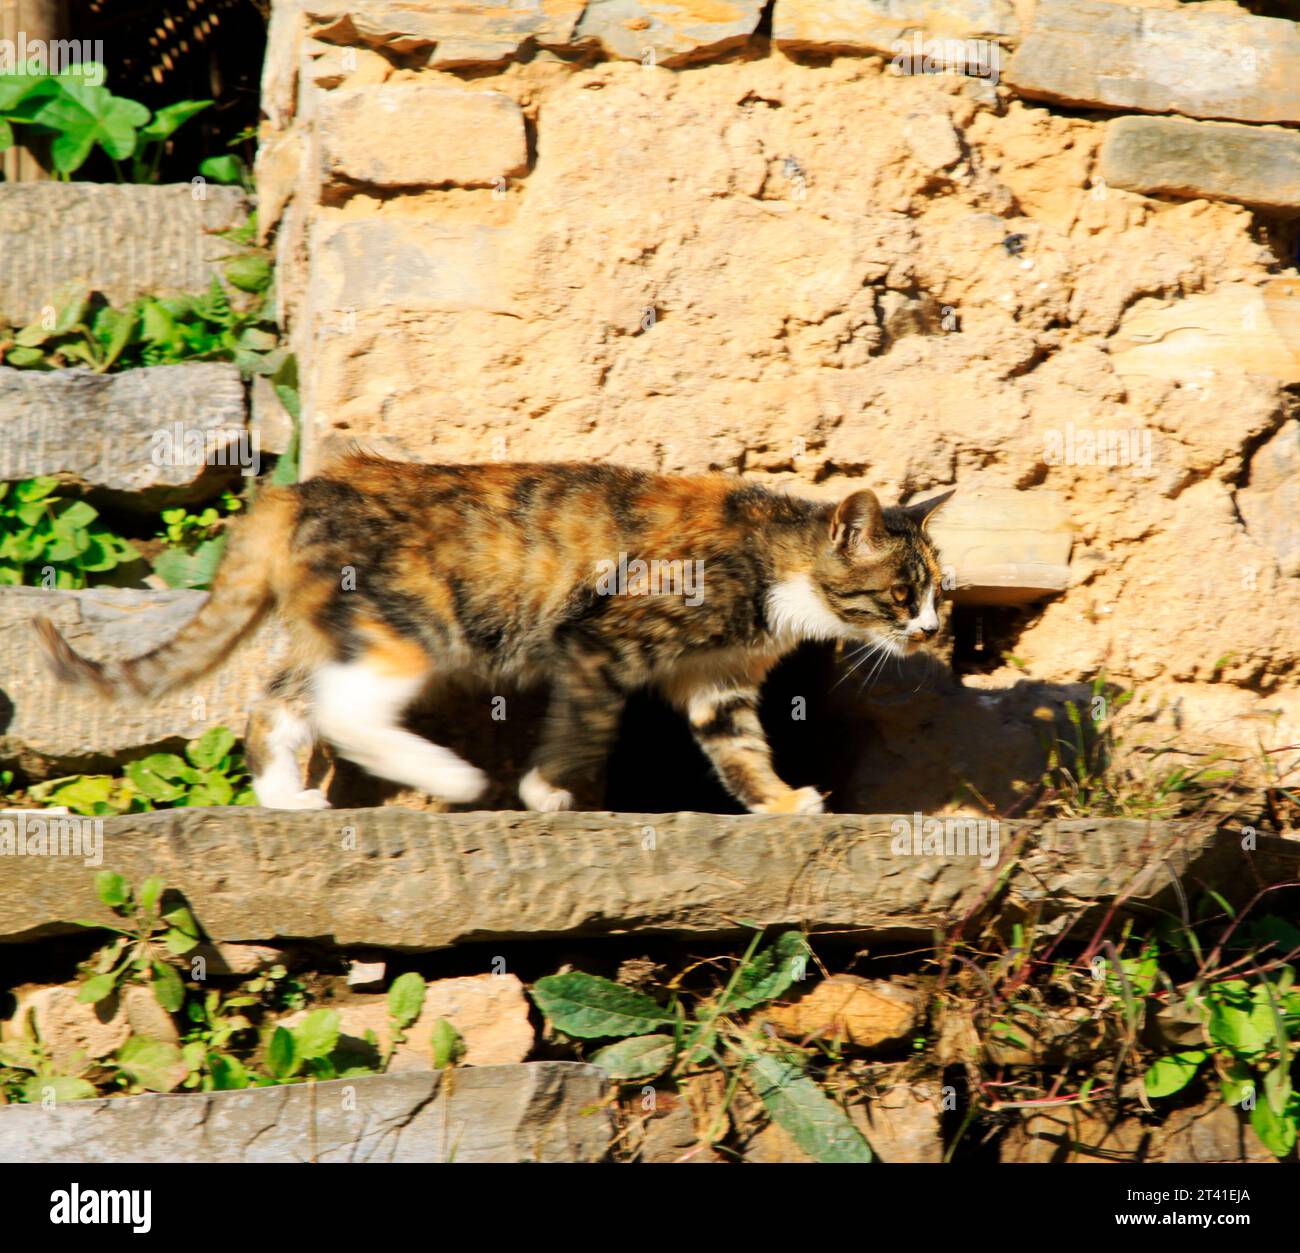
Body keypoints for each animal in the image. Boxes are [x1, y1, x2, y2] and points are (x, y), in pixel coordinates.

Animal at [30, 454, 951, 816]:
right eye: (901, 592)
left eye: (940, 589)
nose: (933, 628)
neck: (775, 563)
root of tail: (301, 490)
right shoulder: (597, 637)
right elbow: (586, 724)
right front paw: (548, 793)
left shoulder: (717, 684)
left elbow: (741, 753)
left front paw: (783, 802)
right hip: (410, 625)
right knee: (342, 710)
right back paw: (451, 776)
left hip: (343, 625)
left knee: (280, 699)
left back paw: (286, 795)